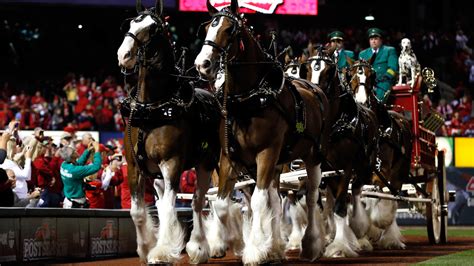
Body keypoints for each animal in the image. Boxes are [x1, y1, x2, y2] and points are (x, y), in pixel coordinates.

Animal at [194, 0, 328, 262]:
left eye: (229, 30)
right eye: (206, 28)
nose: (202, 64)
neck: (250, 99)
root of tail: (314, 88)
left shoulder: (266, 152)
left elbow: (257, 202)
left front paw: (255, 250)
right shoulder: (228, 156)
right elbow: (223, 203)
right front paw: (229, 242)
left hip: (312, 156)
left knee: (311, 196)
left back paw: (310, 245)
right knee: (275, 200)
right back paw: (275, 247)